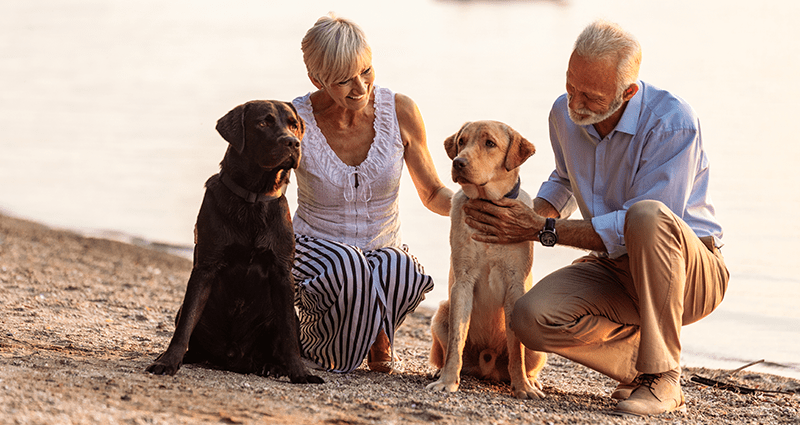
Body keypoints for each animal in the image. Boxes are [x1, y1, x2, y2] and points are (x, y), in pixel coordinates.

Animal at [147, 100, 322, 384]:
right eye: (263, 123)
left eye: (293, 124)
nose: (293, 142)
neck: (253, 197)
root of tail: (233, 358)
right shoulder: (206, 265)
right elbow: (185, 326)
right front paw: (168, 361)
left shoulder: (282, 271)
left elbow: (287, 333)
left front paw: (300, 372)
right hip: (184, 311)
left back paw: (273, 366)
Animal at [428, 120, 548, 398]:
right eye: (461, 141)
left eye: (490, 143)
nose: (458, 162)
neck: (486, 204)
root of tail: (488, 364)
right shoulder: (462, 283)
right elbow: (456, 342)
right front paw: (447, 381)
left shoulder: (515, 285)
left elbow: (517, 349)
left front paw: (522, 387)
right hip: (441, 314)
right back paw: (440, 371)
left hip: (539, 348)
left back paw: (532, 381)